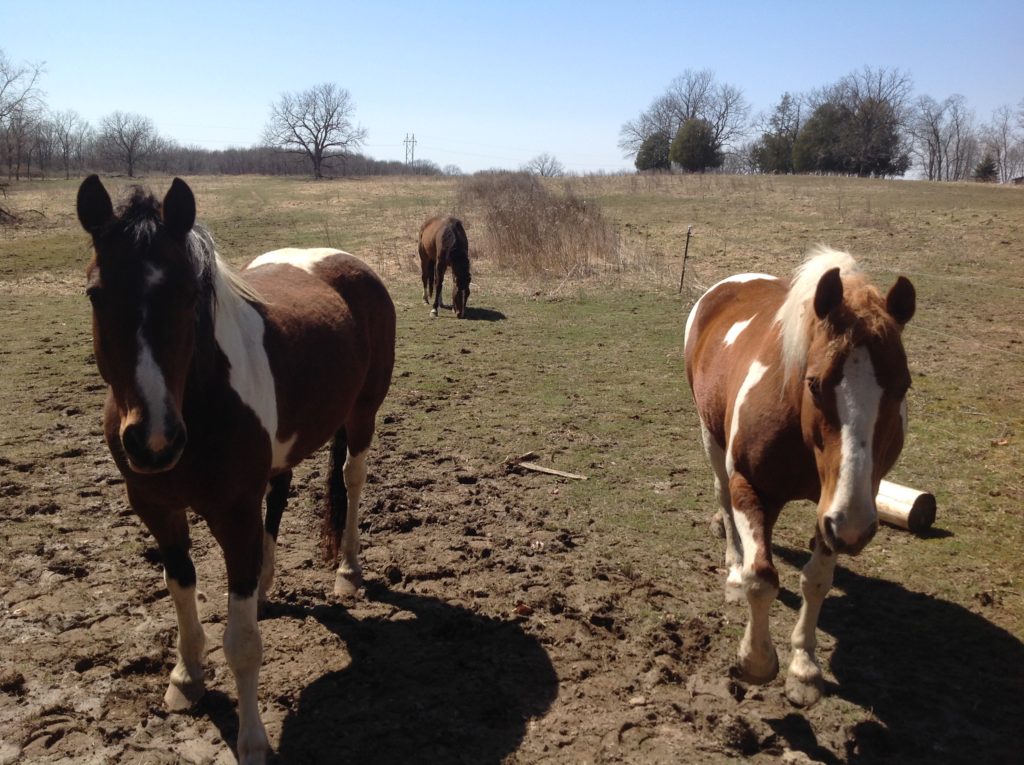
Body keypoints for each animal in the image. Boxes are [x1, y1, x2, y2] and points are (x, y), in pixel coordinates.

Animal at [74, 175, 395, 765]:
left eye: (187, 294)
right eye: (96, 294)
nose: (153, 441)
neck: (196, 400)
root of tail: (345, 260)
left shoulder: (234, 514)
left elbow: (242, 643)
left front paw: (252, 740)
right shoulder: (156, 508)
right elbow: (180, 589)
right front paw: (186, 678)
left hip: (363, 415)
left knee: (353, 481)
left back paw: (347, 570)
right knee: (281, 493)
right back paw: (267, 584)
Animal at [684, 248, 917, 708]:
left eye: (903, 387)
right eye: (814, 383)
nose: (855, 526)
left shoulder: (834, 508)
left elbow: (816, 580)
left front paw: (804, 669)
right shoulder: (750, 488)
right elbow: (761, 578)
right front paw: (755, 661)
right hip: (710, 437)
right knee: (724, 503)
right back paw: (733, 569)